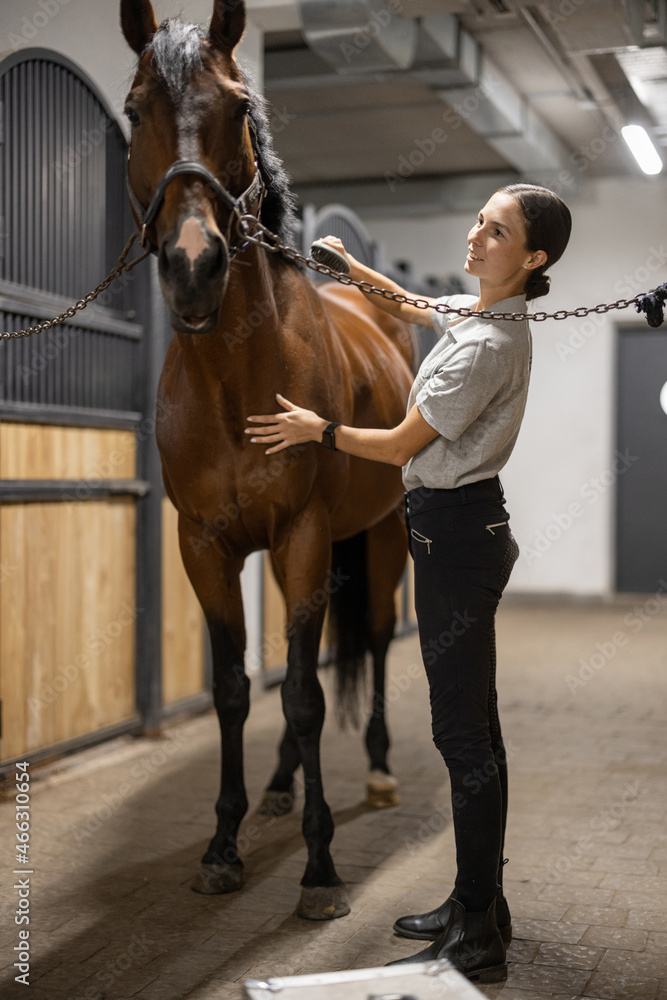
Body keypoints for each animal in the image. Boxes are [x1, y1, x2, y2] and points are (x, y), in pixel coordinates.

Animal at [118, 0, 414, 920]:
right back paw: (282, 787)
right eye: (134, 110)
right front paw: (222, 846)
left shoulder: (306, 535)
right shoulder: (204, 547)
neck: (236, 381)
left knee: (376, 642)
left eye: (240, 106)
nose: (193, 267)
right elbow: (238, 689)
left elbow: (308, 694)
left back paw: (379, 771)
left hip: (381, 539)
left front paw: (318, 870)